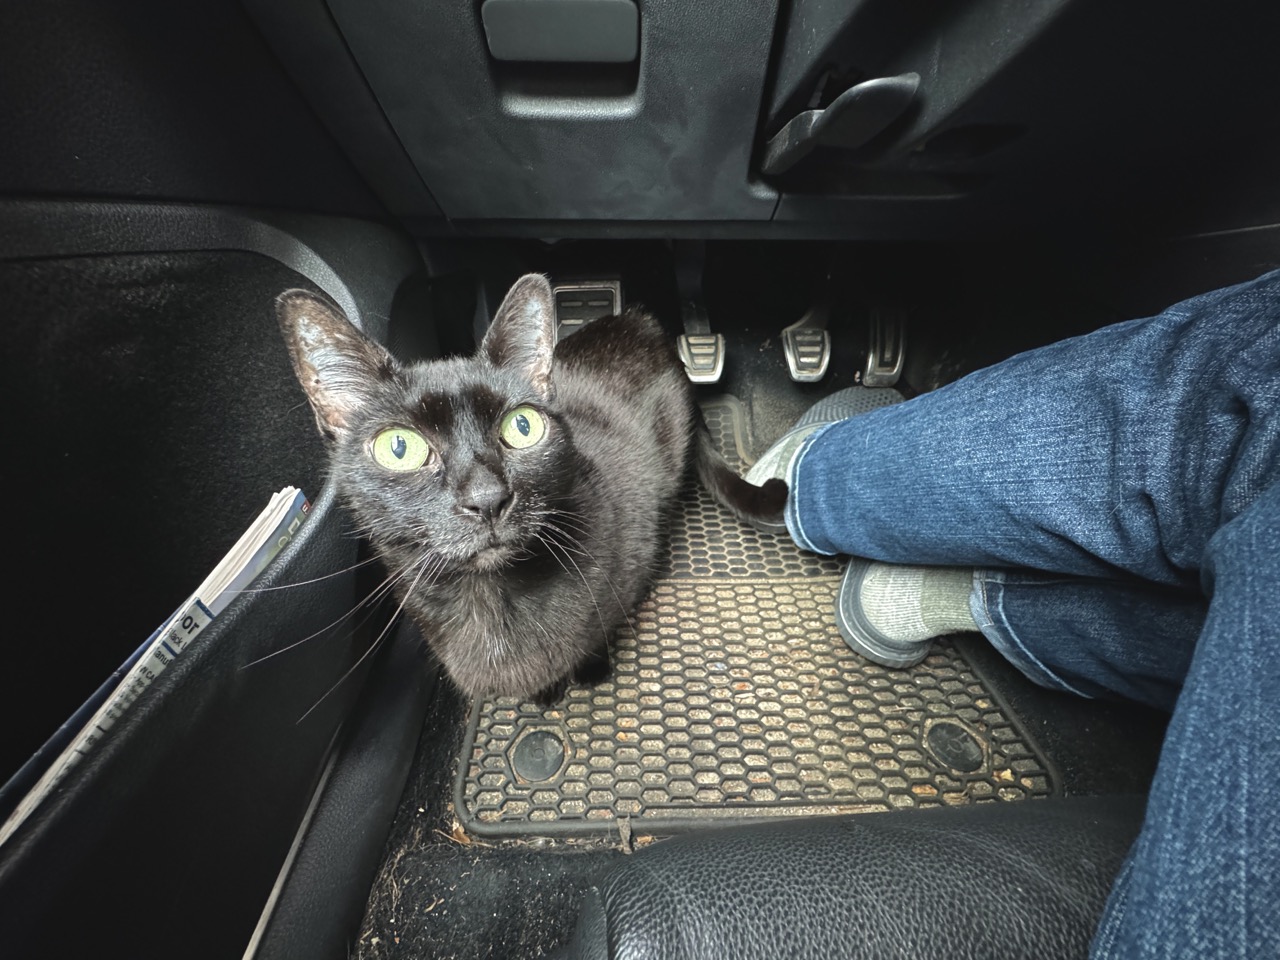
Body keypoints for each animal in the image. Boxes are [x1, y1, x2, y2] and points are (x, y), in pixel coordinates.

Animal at [275, 273, 783, 701]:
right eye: (399, 448)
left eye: (522, 427)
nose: (486, 499)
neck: (490, 598)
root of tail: (643, 322)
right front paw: (544, 694)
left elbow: (596, 632)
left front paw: (585, 673)